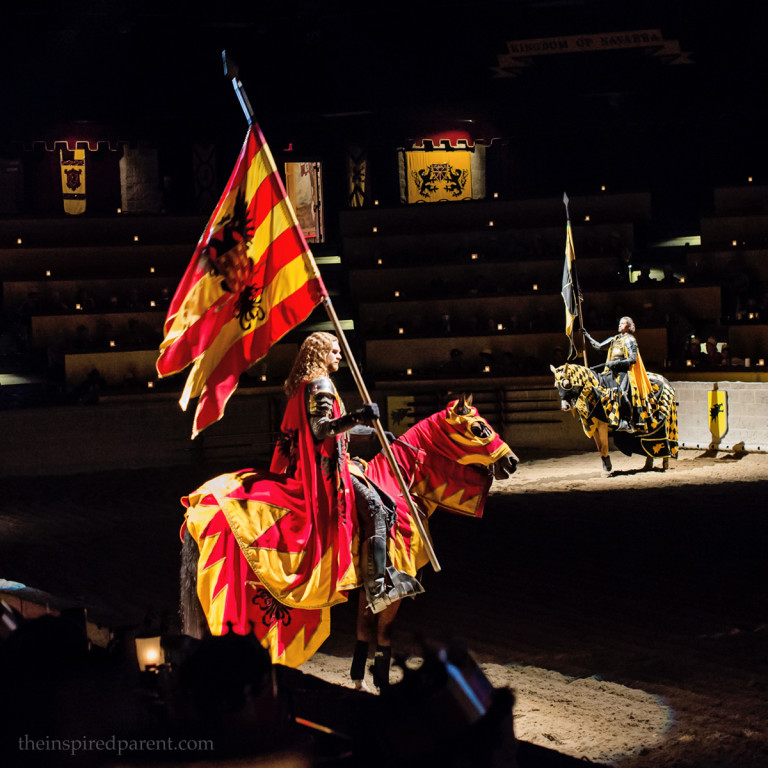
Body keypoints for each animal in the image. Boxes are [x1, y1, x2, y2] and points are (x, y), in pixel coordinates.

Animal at [177, 392, 520, 688]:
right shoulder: (395, 584)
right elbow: (383, 631)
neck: (397, 486)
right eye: (479, 428)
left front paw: (360, 679)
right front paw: (380, 681)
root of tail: (200, 504)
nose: (512, 461)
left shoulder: (367, 585)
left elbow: (364, 629)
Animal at [552, 364, 680, 476]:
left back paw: (665, 463)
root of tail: (666, 381)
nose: (564, 407)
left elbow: (604, 446)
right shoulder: (594, 424)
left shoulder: (602, 424)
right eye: (556, 386)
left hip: (663, 422)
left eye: (567, 384)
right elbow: (599, 447)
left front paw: (606, 471)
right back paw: (648, 465)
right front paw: (606, 466)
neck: (596, 390)